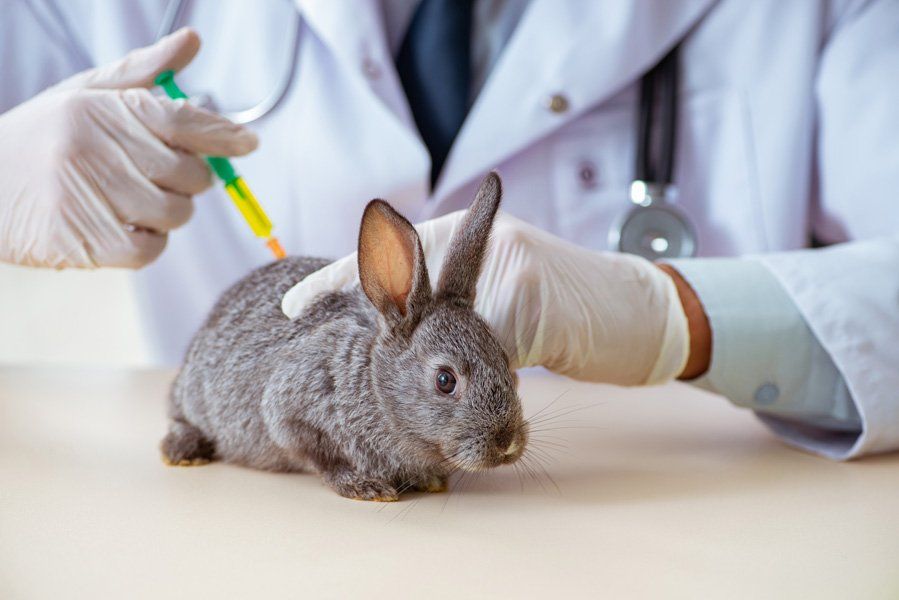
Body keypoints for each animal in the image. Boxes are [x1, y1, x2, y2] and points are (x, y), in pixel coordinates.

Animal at [161, 172, 528, 501]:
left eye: (507, 363)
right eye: (445, 380)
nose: (506, 442)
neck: (376, 388)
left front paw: (429, 480)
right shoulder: (290, 411)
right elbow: (321, 457)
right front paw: (364, 486)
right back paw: (183, 451)